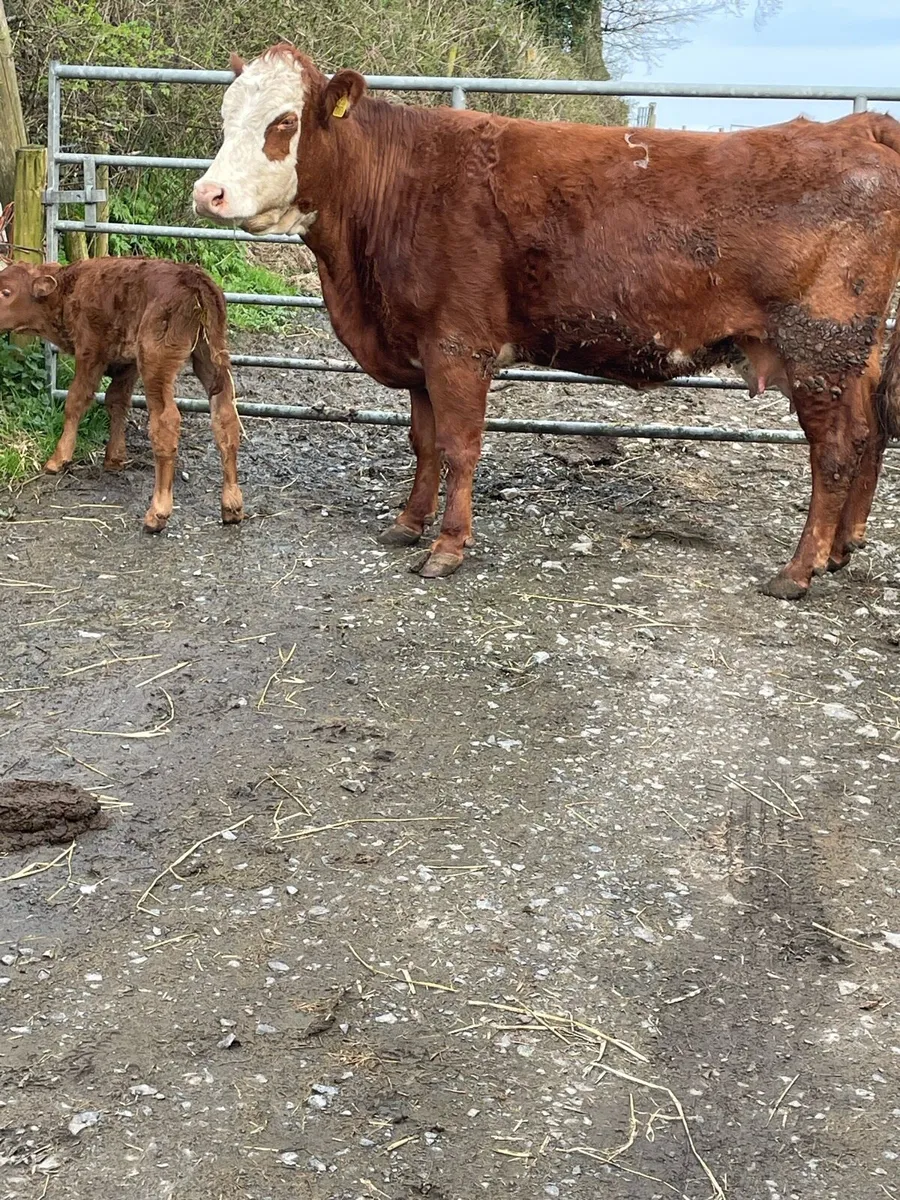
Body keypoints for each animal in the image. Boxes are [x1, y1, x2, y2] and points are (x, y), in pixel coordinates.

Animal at [0, 257, 243, 532]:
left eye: (6, 292)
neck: (68, 288)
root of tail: (195, 280)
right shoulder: (127, 364)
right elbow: (116, 400)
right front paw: (114, 458)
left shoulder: (90, 352)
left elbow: (76, 400)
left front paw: (58, 459)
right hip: (211, 356)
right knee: (225, 416)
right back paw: (232, 506)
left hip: (156, 363)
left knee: (166, 421)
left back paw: (157, 513)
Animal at [193, 43, 900, 598]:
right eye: (224, 117)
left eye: (284, 121)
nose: (207, 193)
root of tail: (853, 126)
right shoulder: (417, 346)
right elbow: (424, 442)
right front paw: (408, 524)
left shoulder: (458, 346)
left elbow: (460, 446)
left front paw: (447, 547)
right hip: (851, 355)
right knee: (869, 434)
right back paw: (839, 550)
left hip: (819, 348)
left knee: (835, 452)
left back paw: (798, 571)